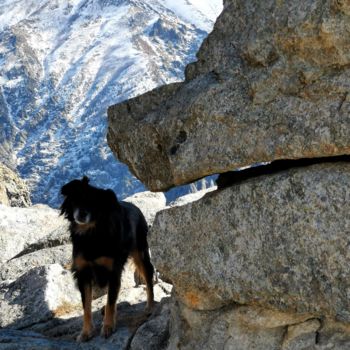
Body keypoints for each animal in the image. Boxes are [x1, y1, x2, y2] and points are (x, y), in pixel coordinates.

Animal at [60, 176, 154, 340]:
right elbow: (86, 305)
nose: (82, 214)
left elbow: (111, 300)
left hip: (140, 251)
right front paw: (86, 332)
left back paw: (150, 306)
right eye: (77, 199)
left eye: (94, 204)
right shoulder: (83, 272)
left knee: (148, 277)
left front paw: (108, 327)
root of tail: (134, 206)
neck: (91, 234)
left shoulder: (113, 270)